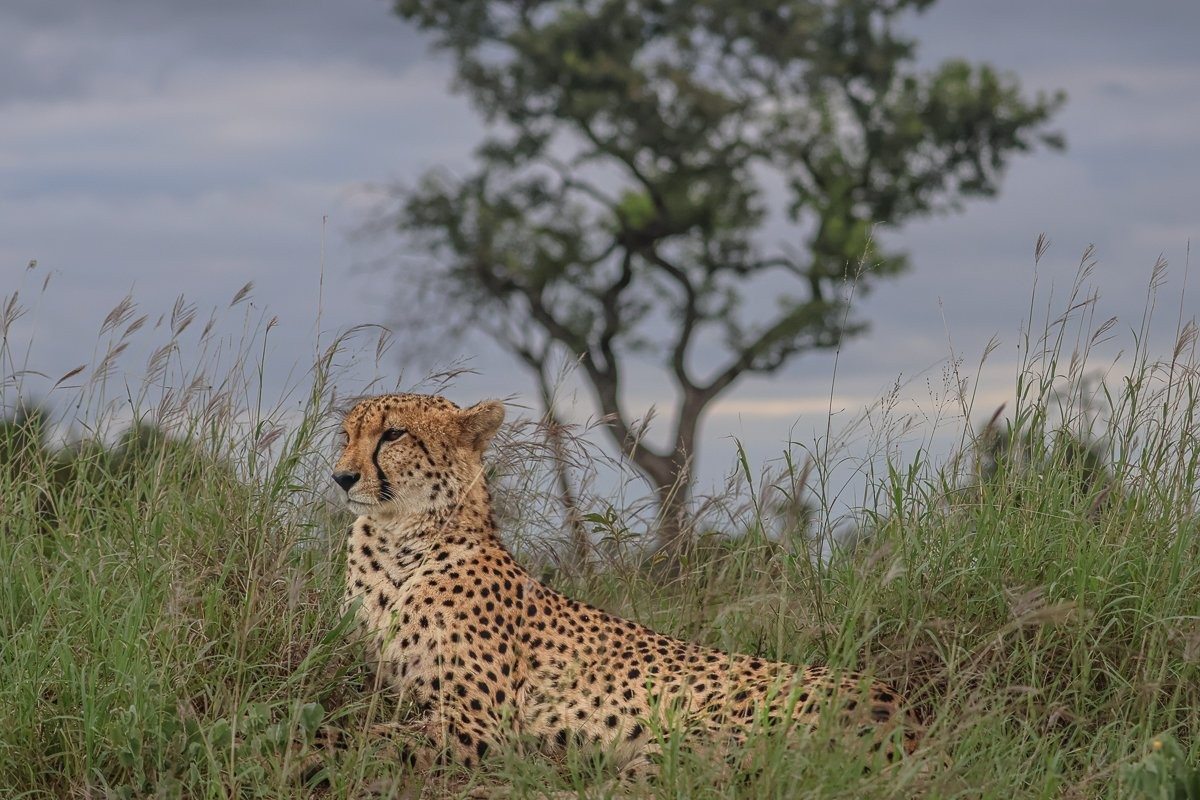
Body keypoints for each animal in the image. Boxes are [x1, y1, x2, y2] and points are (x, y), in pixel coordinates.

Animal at [331, 392, 919, 787]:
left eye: (393, 435)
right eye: (346, 435)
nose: (341, 477)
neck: (398, 537)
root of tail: (903, 707)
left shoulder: (478, 721)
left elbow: (364, 736)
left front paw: (320, 754)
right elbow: (354, 720)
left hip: (698, 734)